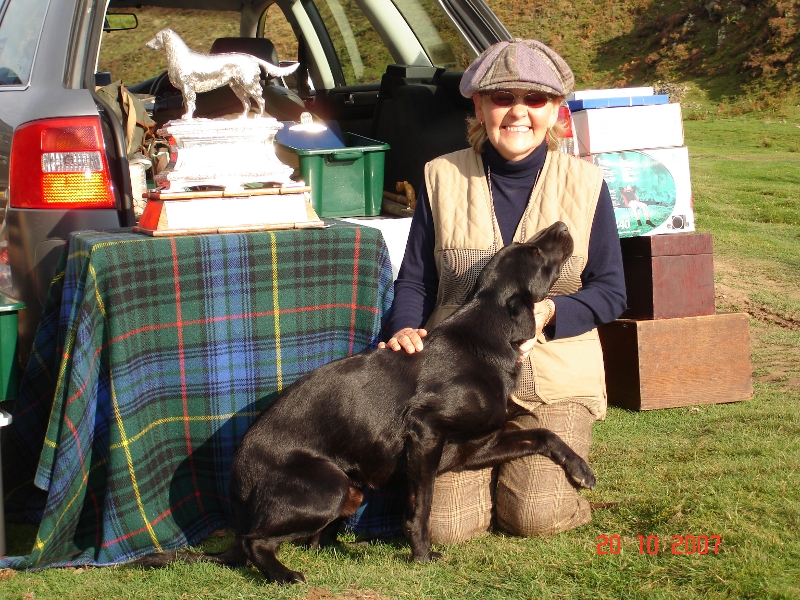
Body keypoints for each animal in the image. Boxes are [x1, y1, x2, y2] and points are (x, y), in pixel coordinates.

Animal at [139, 220, 592, 580]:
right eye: (535, 251)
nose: (563, 225)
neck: (488, 337)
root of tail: (237, 492)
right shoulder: (426, 432)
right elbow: (421, 508)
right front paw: (422, 556)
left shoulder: (474, 447)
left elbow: (543, 433)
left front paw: (580, 470)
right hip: (328, 489)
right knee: (256, 543)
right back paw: (283, 575)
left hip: (349, 490)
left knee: (311, 542)